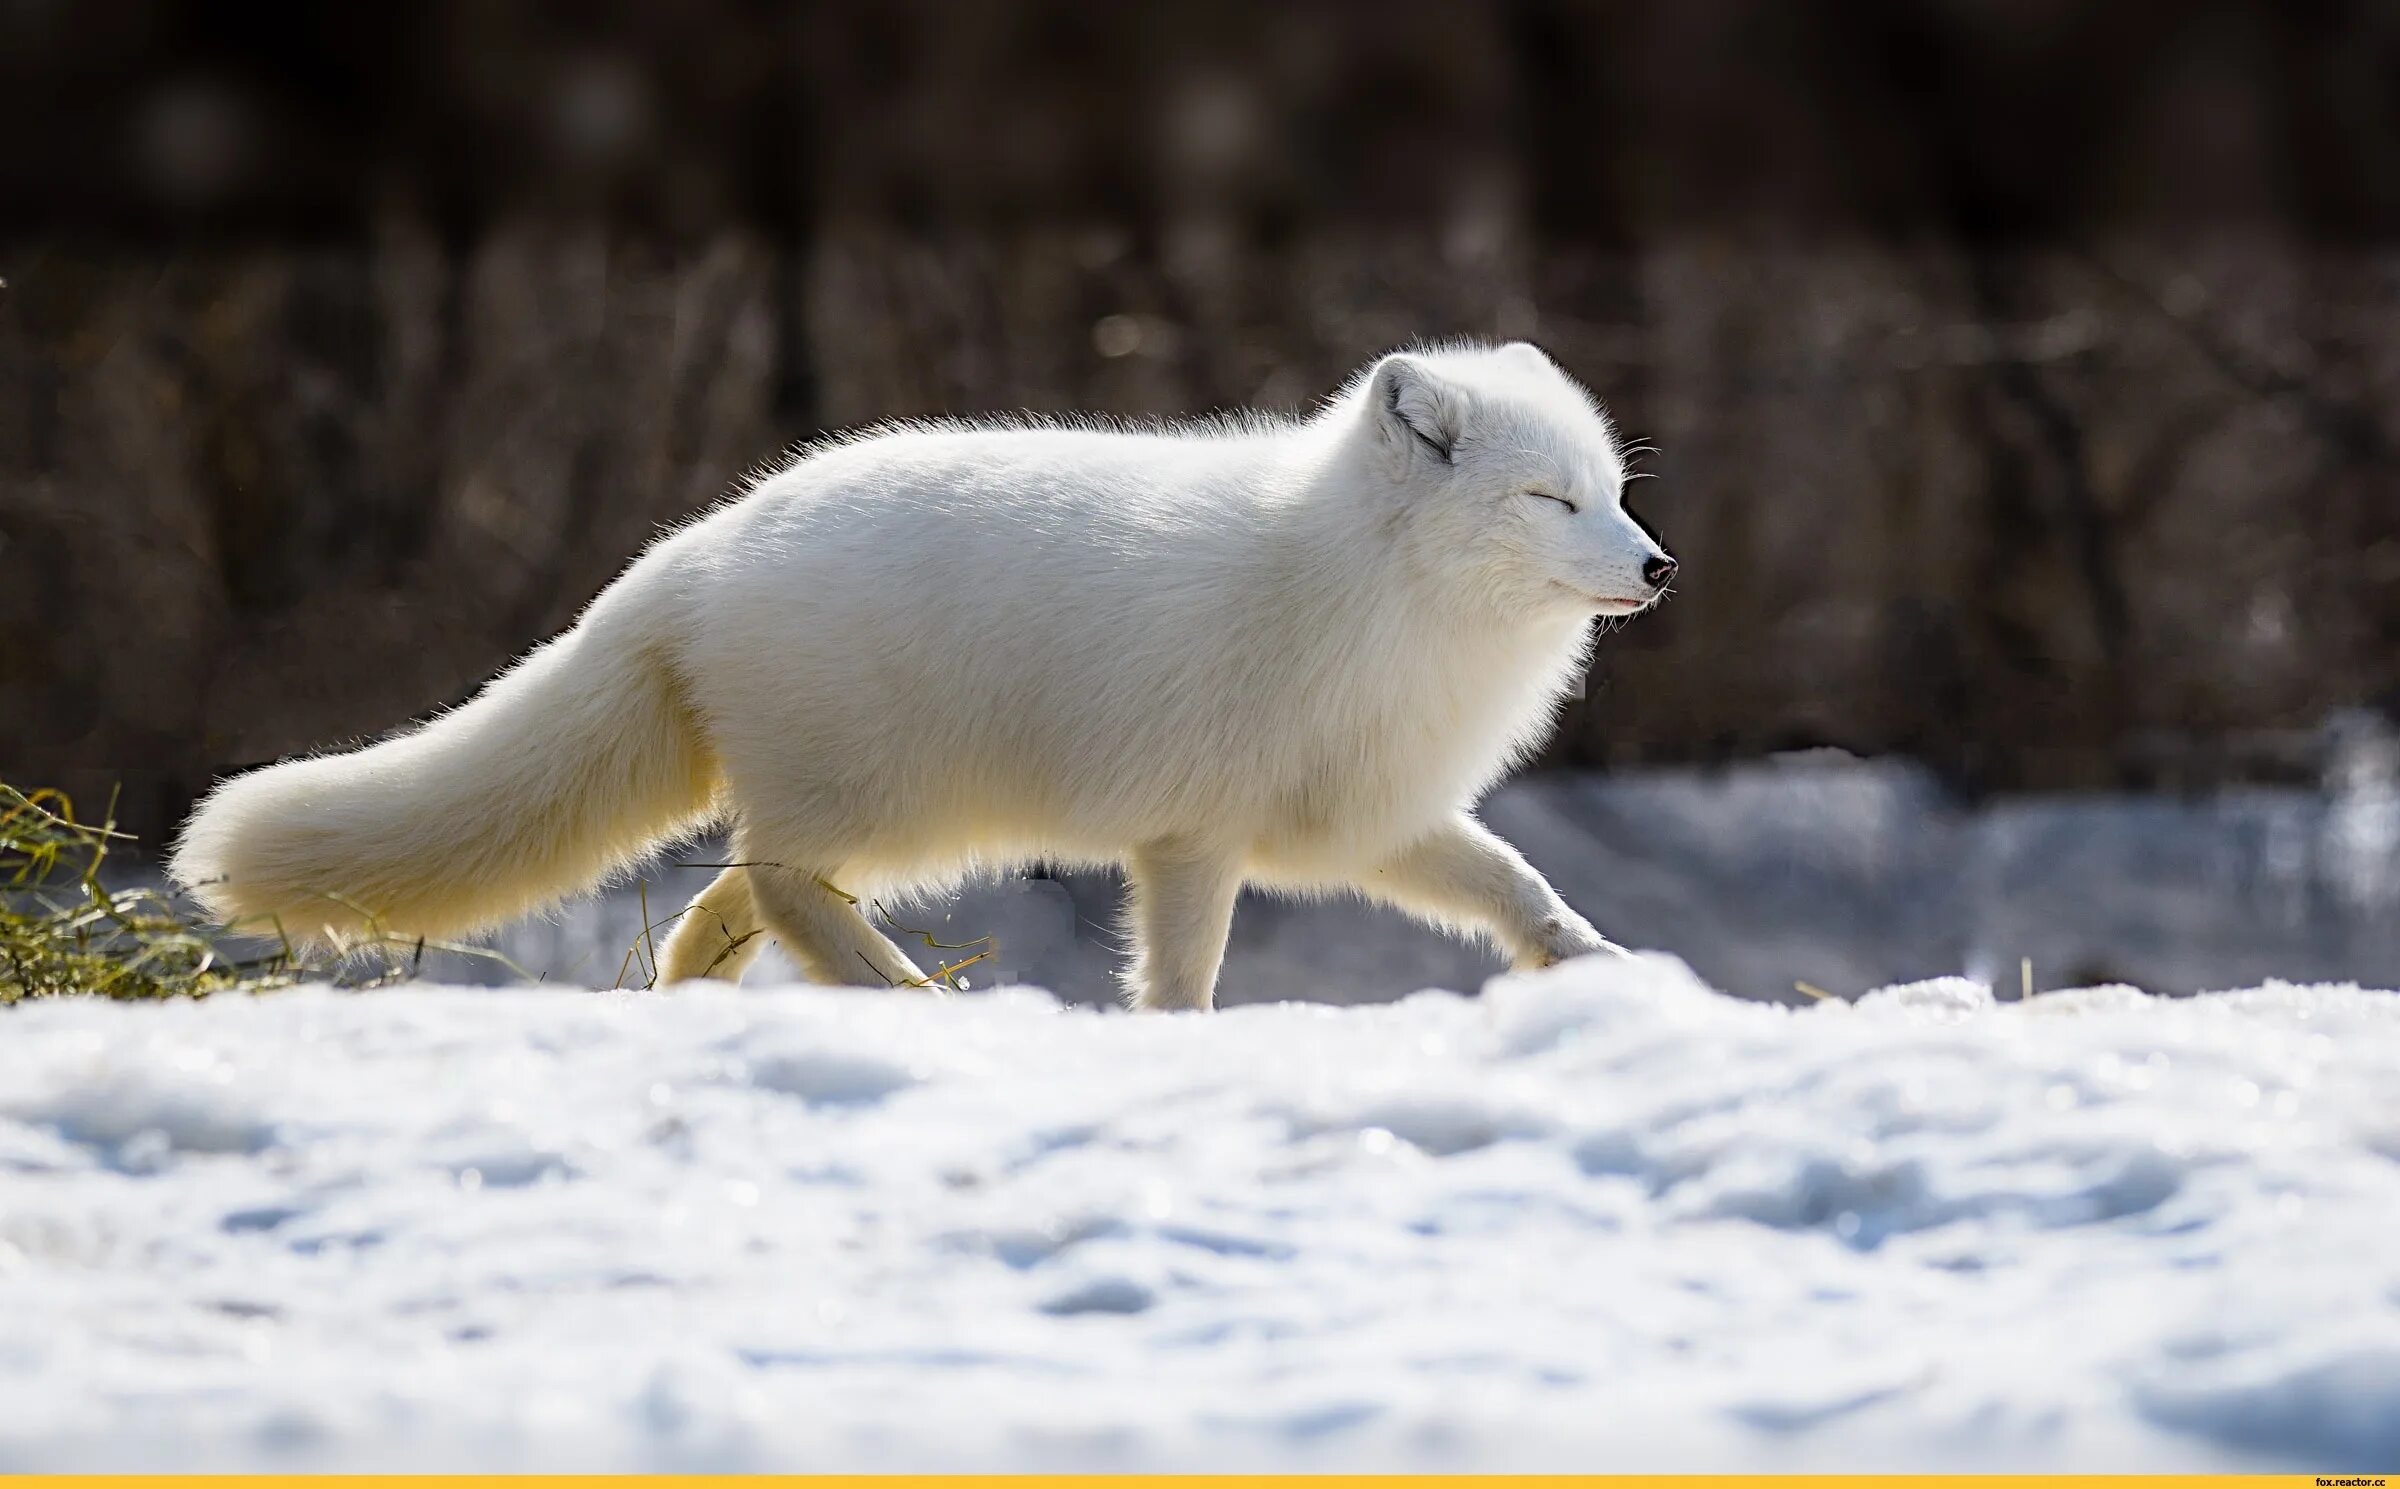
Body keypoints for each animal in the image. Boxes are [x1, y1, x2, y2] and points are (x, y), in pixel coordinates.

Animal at [174, 343, 1670, 1003]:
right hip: (903, 806)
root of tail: (698, 546)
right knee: (773, 883)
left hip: (897, 819)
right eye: (1549, 500)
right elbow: (1183, 976)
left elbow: (1517, 884)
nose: (1658, 568)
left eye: (1609, 492)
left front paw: (1605, 969)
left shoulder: (1367, 819)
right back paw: (899, 992)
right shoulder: (1195, 837)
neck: (1372, 596)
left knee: (724, 904)